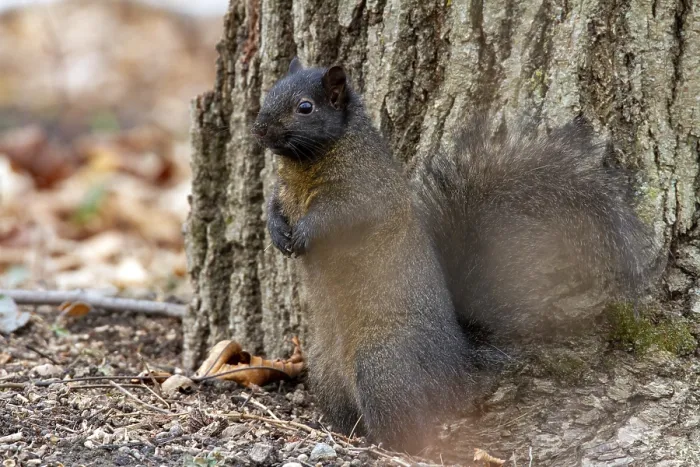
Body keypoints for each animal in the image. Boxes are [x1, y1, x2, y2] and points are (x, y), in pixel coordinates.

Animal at [251, 58, 658, 451]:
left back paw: (386, 445)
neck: (306, 164)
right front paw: (277, 231)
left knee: (409, 425)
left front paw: (304, 232)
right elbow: (273, 205)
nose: (259, 129)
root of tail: (457, 369)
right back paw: (345, 433)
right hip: (324, 372)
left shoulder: (365, 189)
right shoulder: (284, 190)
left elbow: (340, 215)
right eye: (269, 91)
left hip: (384, 367)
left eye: (305, 107)